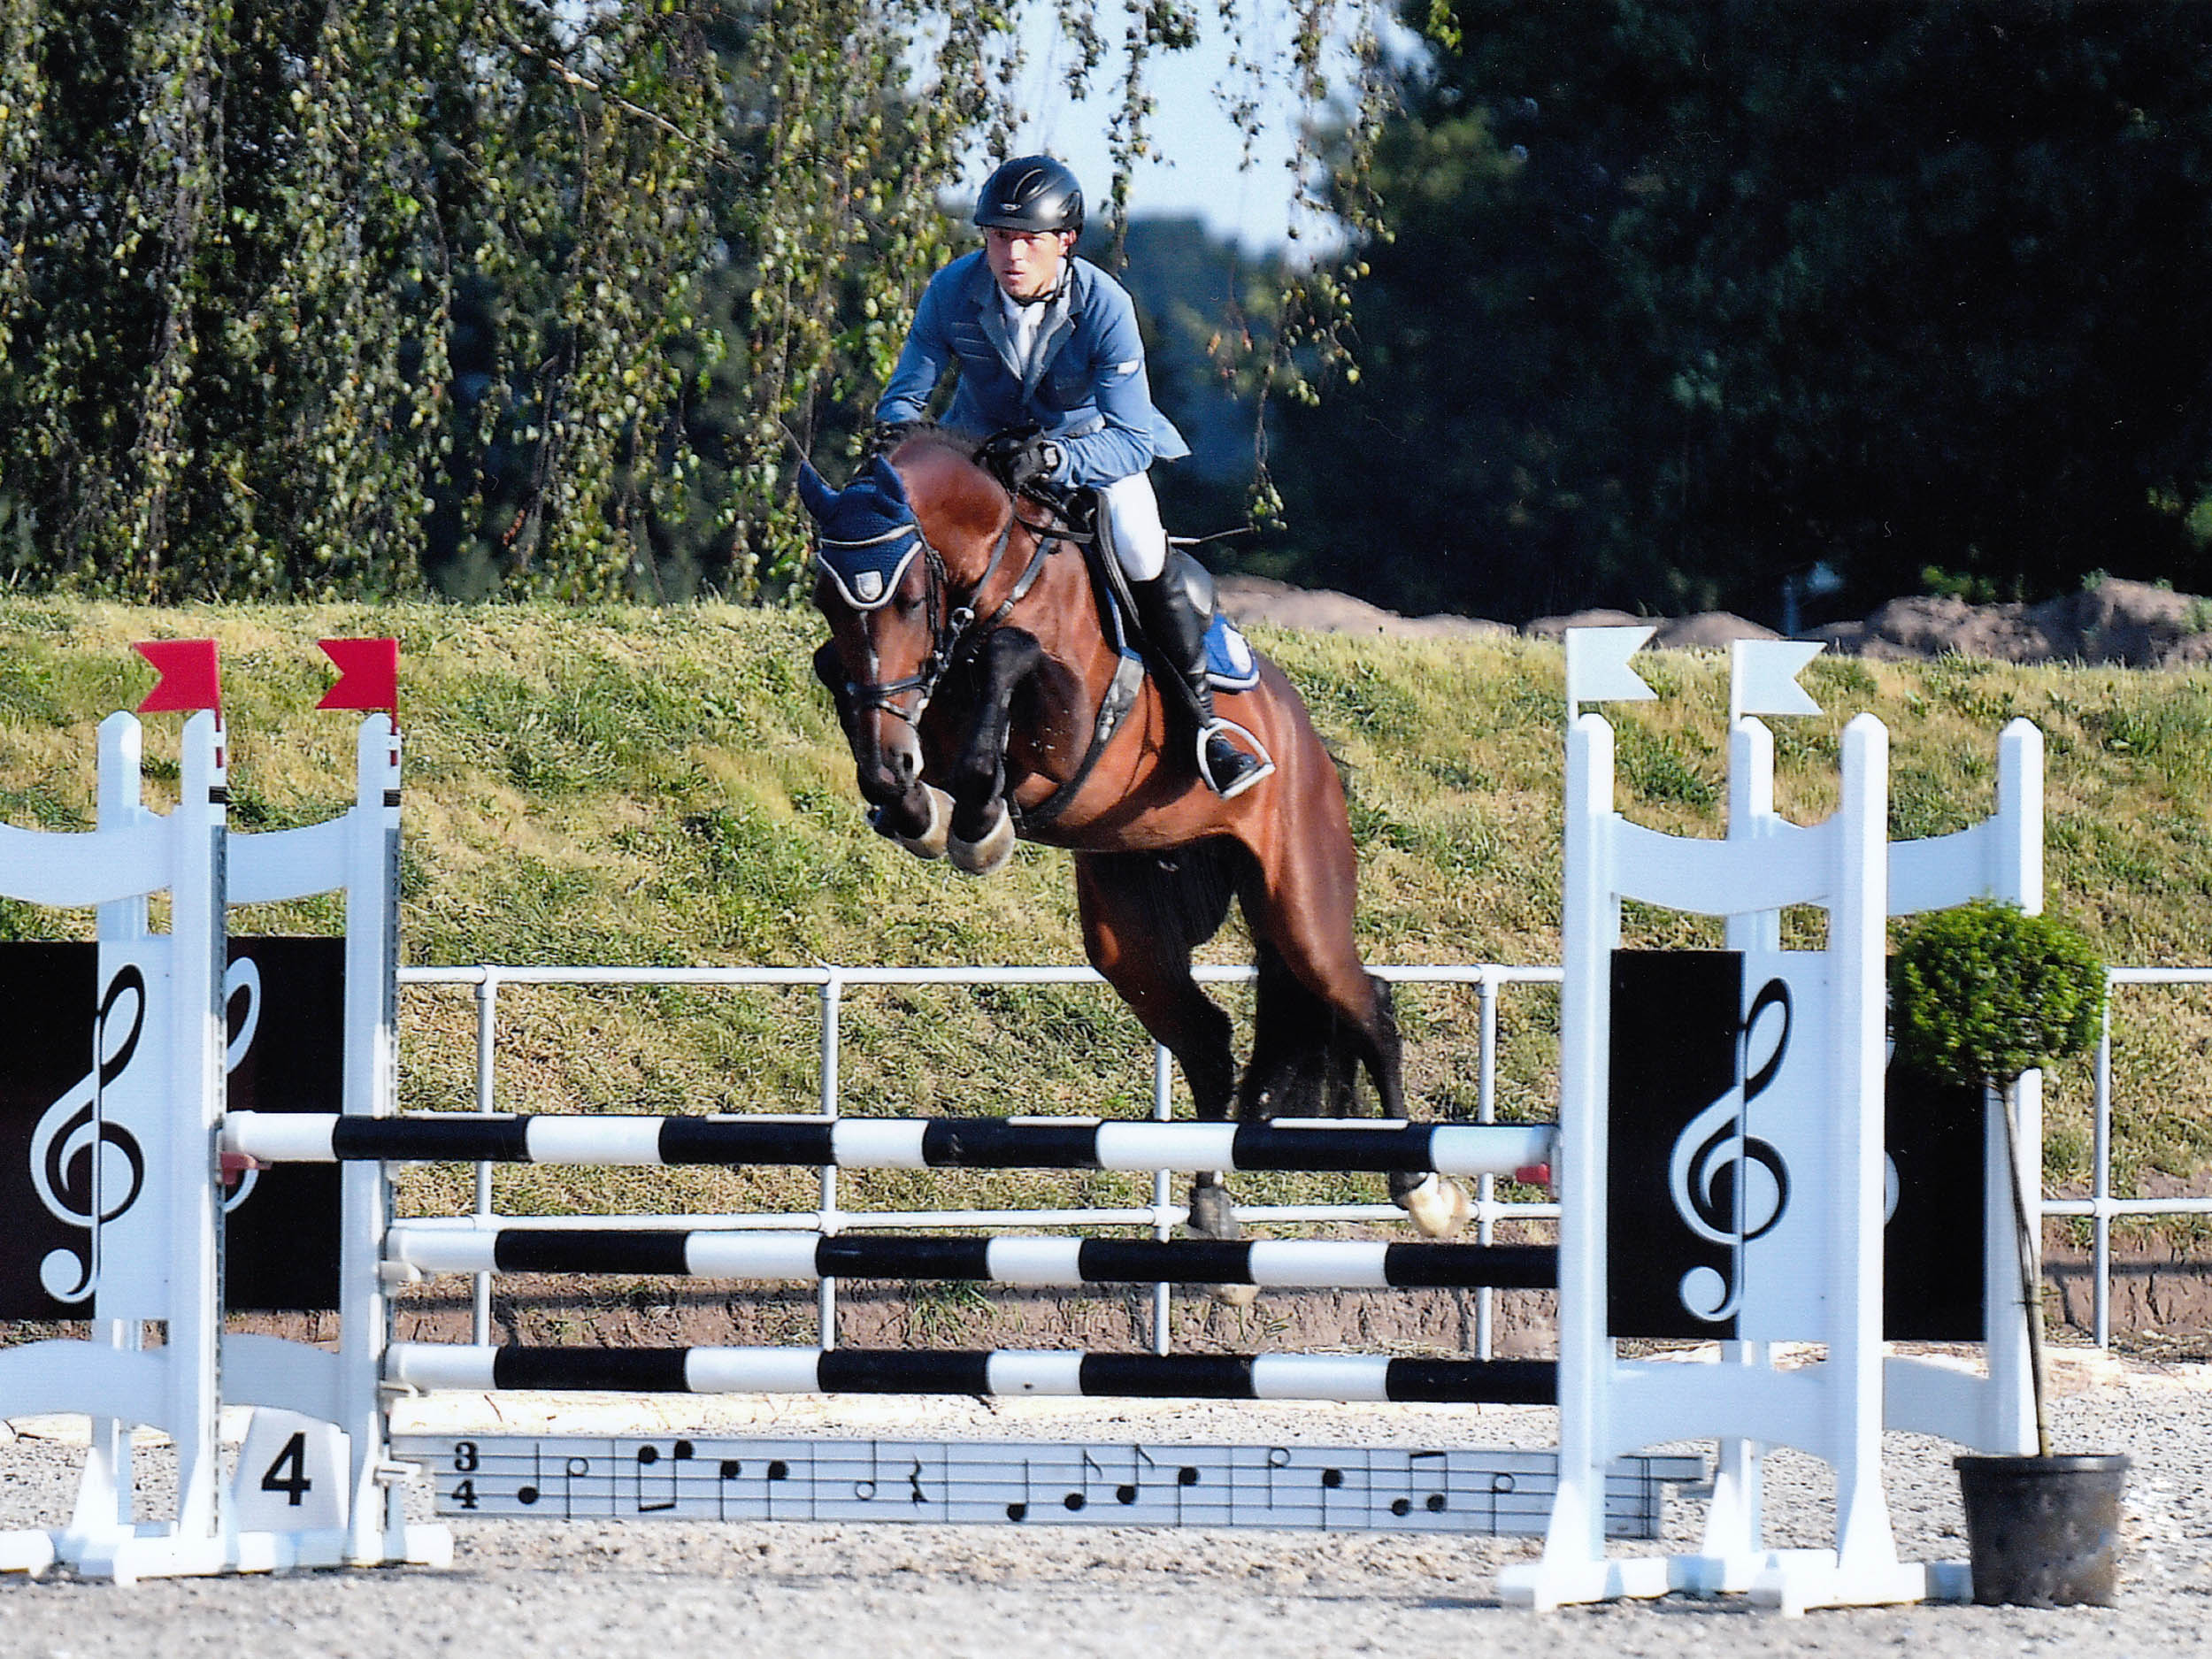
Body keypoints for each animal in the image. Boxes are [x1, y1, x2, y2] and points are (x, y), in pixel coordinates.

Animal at [801, 435, 1469, 1265]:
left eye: (906, 601)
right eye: (827, 601)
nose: (884, 768)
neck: (999, 573)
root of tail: (1311, 745)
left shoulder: (1072, 721)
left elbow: (1010, 657)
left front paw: (977, 822)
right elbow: (842, 674)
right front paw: (918, 809)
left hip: (1301, 904)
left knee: (1367, 1001)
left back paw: (1426, 1191)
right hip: (1131, 932)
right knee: (1211, 1041)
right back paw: (1212, 1207)